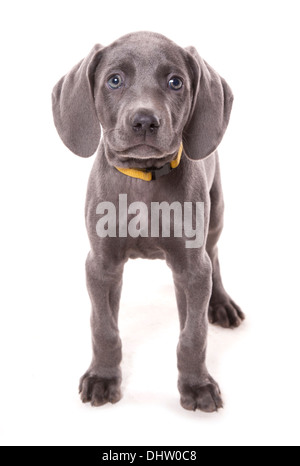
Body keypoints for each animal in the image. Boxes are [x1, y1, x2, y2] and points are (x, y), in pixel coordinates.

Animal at [52, 31, 244, 414]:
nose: (144, 121)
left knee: (214, 256)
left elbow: (193, 335)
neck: (143, 180)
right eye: (114, 80)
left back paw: (220, 303)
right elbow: (103, 328)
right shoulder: (101, 264)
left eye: (176, 82)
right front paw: (102, 378)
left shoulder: (191, 267)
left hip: (215, 212)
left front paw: (197, 386)